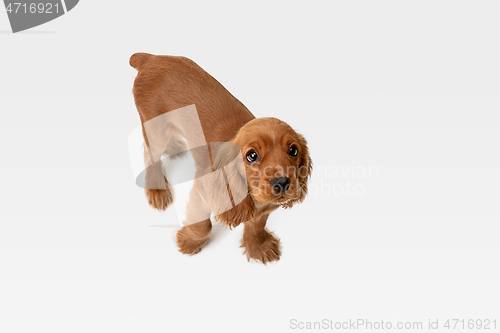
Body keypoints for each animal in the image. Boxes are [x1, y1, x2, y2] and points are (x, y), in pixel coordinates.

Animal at [131, 53, 310, 264]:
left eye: (293, 150)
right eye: (252, 155)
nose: (282, 182)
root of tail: (150, 58)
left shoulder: (266, 206)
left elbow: (257, 224)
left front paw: (257, 246)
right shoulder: (202, 192)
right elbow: (202, 225)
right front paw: (188, 242)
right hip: (155, 128)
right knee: (149, 154)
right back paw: (157, 190)